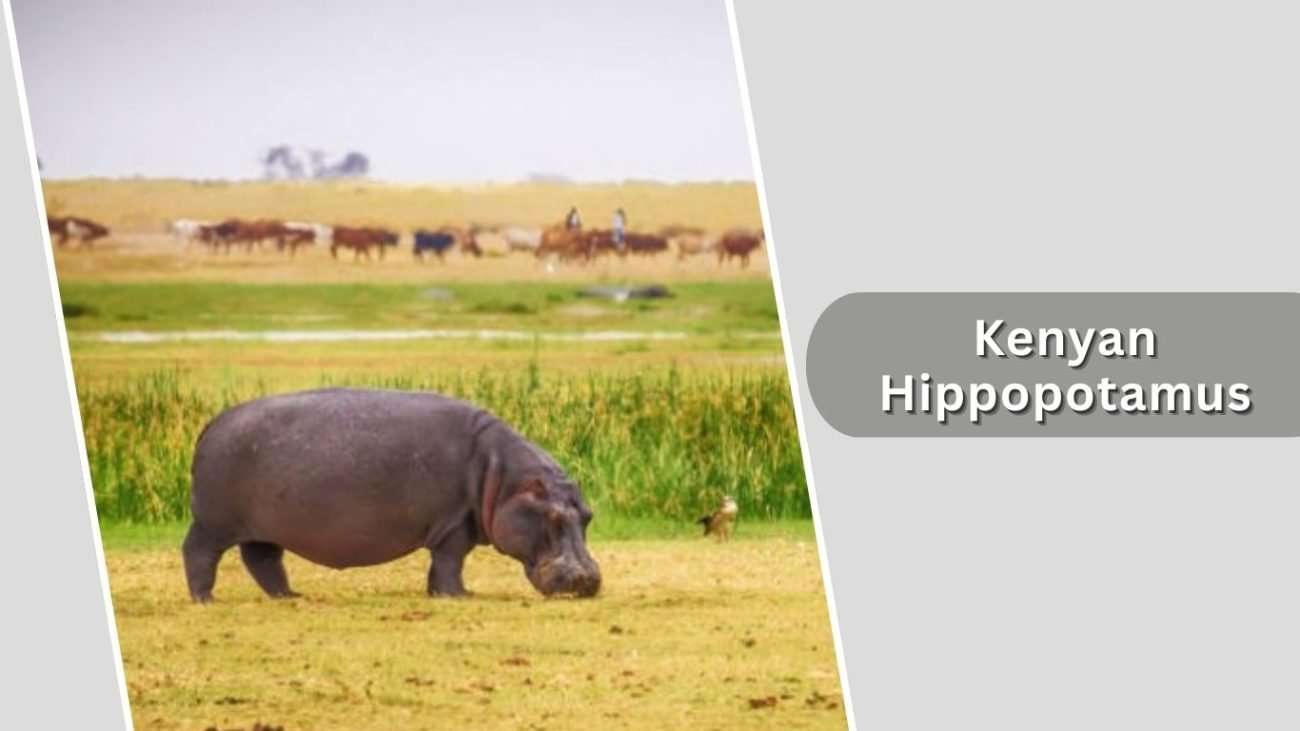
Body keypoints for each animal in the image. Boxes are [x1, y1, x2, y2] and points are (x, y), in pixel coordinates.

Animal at [182, 388, 601, 602]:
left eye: (588, 514)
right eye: (553, 517)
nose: (588, 580)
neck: (503, 477)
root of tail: (212, 423)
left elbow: (439, 566)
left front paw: (437, 594)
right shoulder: (454, 525)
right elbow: (451, 562)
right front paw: (460, 596)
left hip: (263, 528)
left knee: (264, 561)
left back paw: (290, 596)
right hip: (214, 522)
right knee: (198, 552)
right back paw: (205, 599)